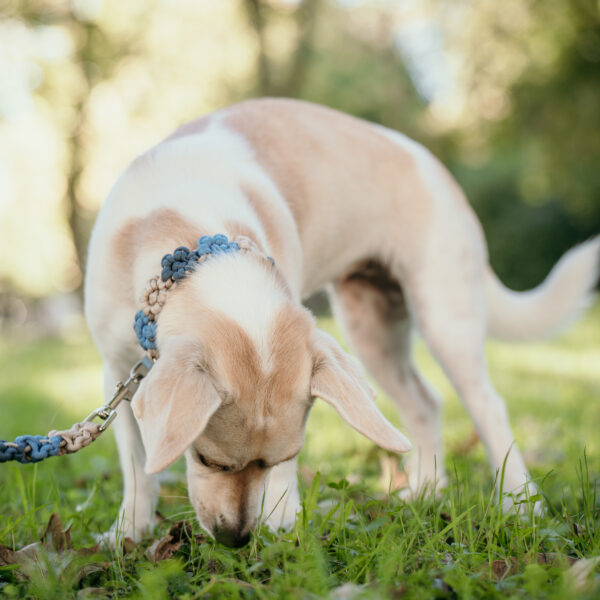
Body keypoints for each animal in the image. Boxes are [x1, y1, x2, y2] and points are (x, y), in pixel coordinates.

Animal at [85, 96, 600, 548]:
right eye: (205, 458)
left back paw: (521, 504)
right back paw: (427, 491)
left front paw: (281, 522)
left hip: (444, 317)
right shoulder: (118, 374)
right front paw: (129, 533)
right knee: (425, 403)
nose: (237, 540)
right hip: (373, 331)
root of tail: (440, 171)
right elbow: (136, 467)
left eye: (284, 458)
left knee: (487, 407)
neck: (190, 238)